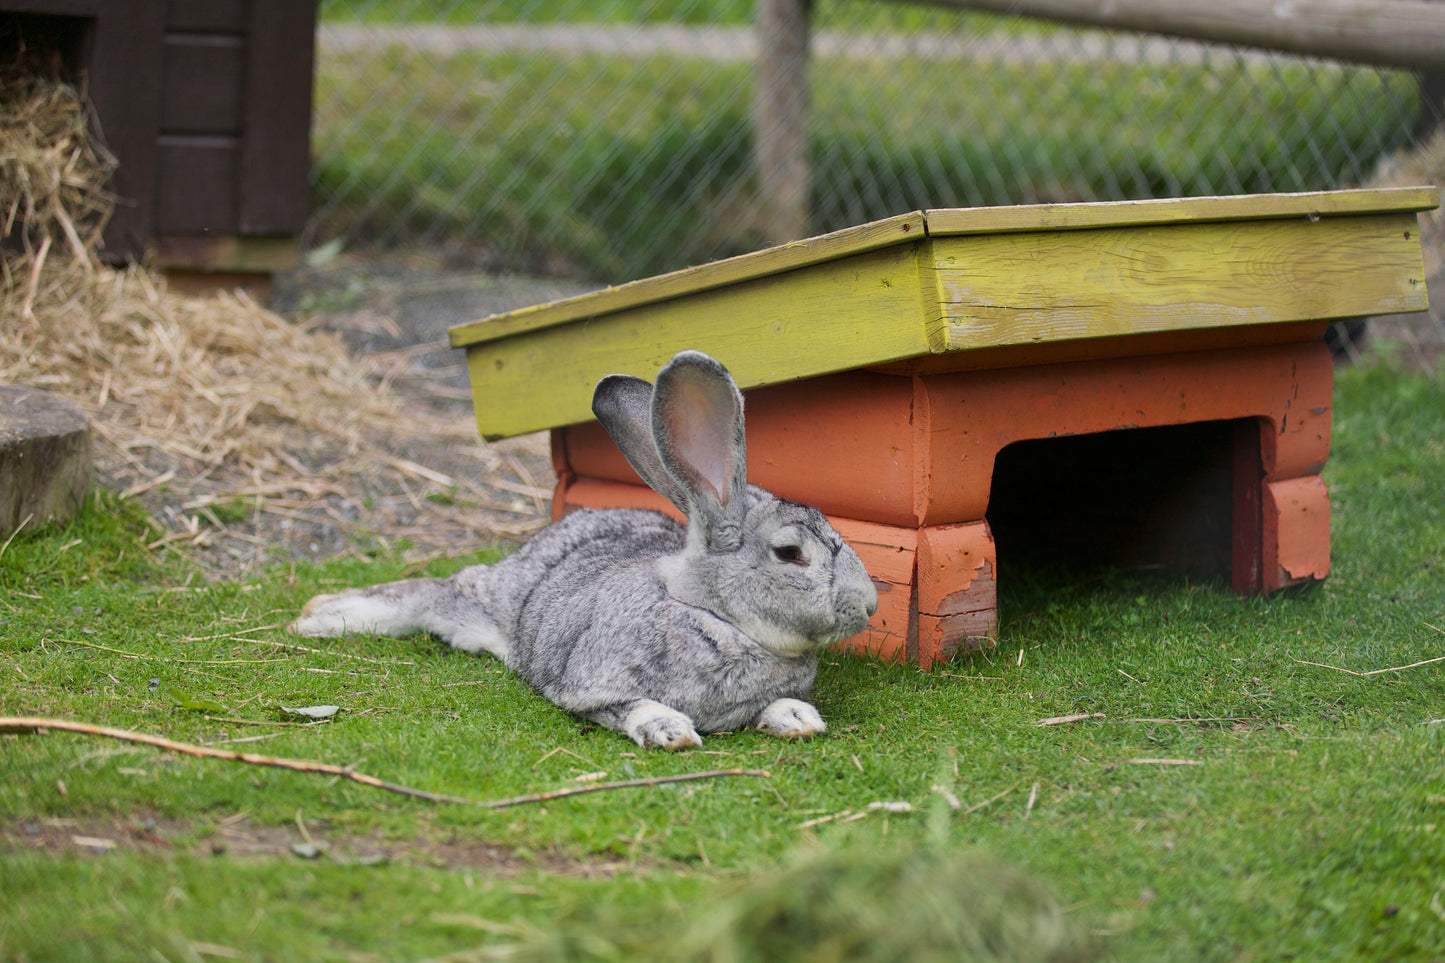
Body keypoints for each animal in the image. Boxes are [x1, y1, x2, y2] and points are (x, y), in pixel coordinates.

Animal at [291, 350, 879, 749]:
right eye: (790, 553)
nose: (869, 605)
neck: (713, 616)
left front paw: (799, 720)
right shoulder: (591, 688)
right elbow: (631, 707)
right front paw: (671, 731)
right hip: (479, 604)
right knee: (430, 594)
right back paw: (316, 616)